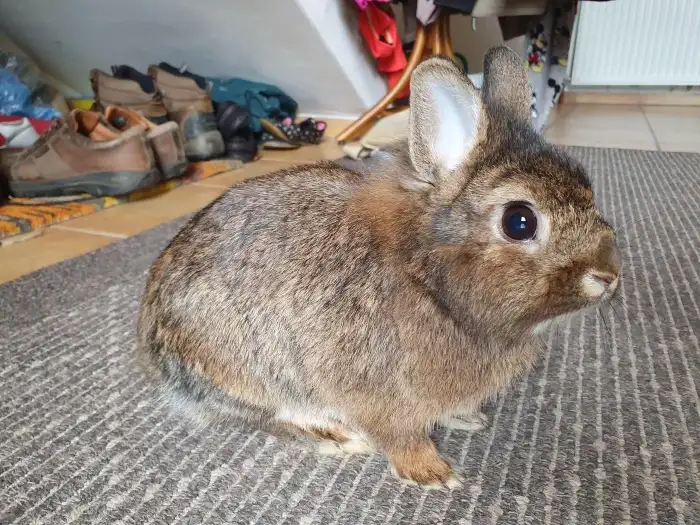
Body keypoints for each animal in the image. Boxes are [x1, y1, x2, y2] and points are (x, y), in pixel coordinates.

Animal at [137, 45, 621, 489]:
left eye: (587, 187)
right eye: (520, 222)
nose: (608, 278)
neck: (429, 281)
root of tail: (152, 345)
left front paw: (466, 420)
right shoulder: (380, 393)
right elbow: (400, 435)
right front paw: (432, 474)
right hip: (253, 371)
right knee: (272, 415)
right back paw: (338, 437)